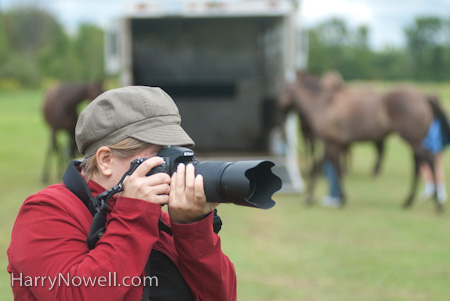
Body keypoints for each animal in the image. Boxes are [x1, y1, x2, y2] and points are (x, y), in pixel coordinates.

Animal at [280, 73, 444, 211]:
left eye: (284, 89)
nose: (281, 109)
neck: (323, 104)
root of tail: (422, 97)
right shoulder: (334, 145)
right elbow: (320, 166)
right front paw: (315, 197)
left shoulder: (331, 144)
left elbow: (331, 168)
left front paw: (337, 198)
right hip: (415, 141)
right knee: (419, 164)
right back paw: (409, 201)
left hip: (413, 140)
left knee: (428, 161)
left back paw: (437, 204)